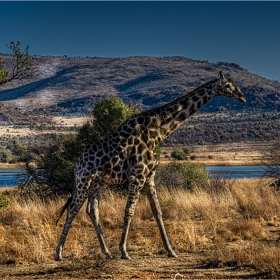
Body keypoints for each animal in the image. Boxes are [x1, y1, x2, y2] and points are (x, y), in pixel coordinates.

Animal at [55, 71, 245, 260]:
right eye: (228, 85)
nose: (242, 97)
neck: (157, 133)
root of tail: (76, 164)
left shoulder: (149, 176)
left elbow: (157, 211)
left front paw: (171, 250)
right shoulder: (138, 175)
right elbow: (129, 211)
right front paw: (124, 251)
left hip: (97, 183)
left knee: (92, 211)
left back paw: (106, 252)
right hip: (84, 181)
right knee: (73, 208)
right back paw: (59, 253)